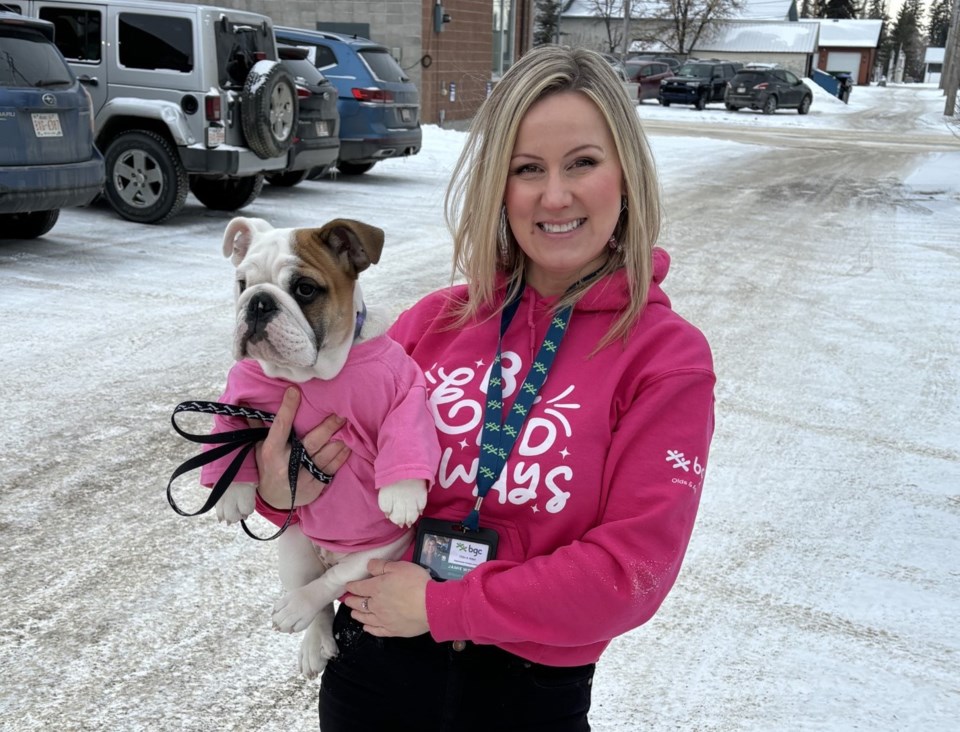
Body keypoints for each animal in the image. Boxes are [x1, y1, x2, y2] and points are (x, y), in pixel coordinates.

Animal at [208, 217, 440, 680]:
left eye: (304, 289)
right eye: (242, 283)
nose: (258, 302)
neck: (313, 377)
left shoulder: (405, 387)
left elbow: (406, 427)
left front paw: (403, 493)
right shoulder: (238, 388)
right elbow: (228, 427)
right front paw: (232, 492)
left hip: (379, 552)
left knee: (334, 581)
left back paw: (297, 609)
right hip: (295, 550)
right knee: (317, 591)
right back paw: (314, 641)